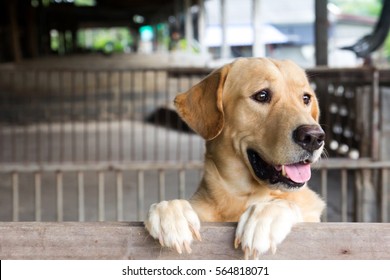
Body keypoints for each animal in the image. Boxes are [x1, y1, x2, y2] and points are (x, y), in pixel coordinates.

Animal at [145, 57, 324, 260]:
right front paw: (170, 213)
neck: (241, 196)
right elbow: (168, 205)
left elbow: (284, 203)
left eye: (306, 98)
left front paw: (264, 217)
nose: (314, 137)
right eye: (262, 95)